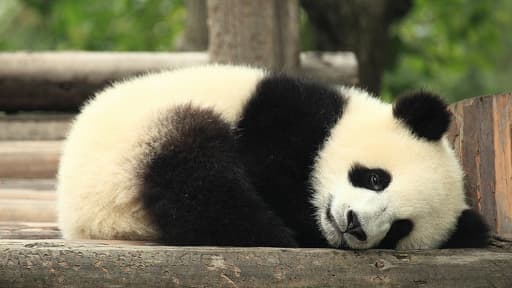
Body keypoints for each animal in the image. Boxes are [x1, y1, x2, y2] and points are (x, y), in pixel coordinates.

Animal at [55, 64, 488, 250]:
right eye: (376, 178)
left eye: (400, 228)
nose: (354, 226)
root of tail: (78, 218)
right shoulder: (284, 115)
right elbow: (266, 170)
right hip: (133, 147)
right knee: (199, 176)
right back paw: (274, 234)